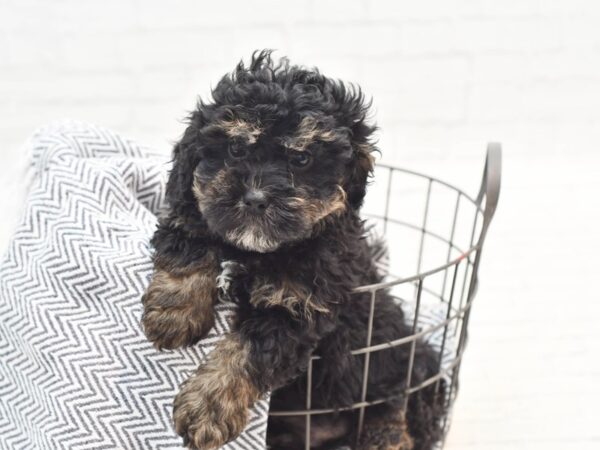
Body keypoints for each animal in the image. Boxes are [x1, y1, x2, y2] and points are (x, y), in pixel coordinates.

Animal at [142, 51, 446, 448]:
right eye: (235, 148)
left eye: (302, 159)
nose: (255, 199)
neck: (259, 252)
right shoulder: (195, 207)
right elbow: (189, 234)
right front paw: (174, 315)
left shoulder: (301, 303)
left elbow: (251, 349)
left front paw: (207, 407)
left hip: (401, 356)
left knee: (399, 398)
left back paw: (386, 436)